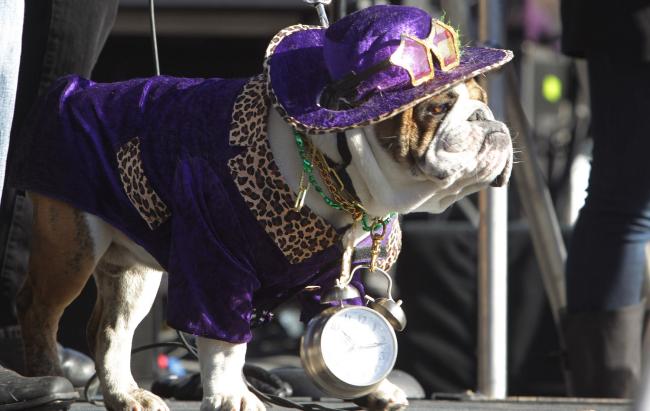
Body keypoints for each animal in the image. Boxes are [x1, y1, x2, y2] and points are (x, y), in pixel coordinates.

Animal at [11, 6, 513, 411]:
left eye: (484, 103)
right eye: (437, 109)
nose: (490, 122)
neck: (331, 163)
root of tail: (78, 91)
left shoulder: (336, 275)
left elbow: (344, 321)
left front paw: (372, 388)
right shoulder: (215, 266)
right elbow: (225, 342)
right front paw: (230, 394)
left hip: (133, 269)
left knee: (109, 330)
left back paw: (125, 395)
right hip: (73, 246)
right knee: (38, 310)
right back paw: (46, 378)